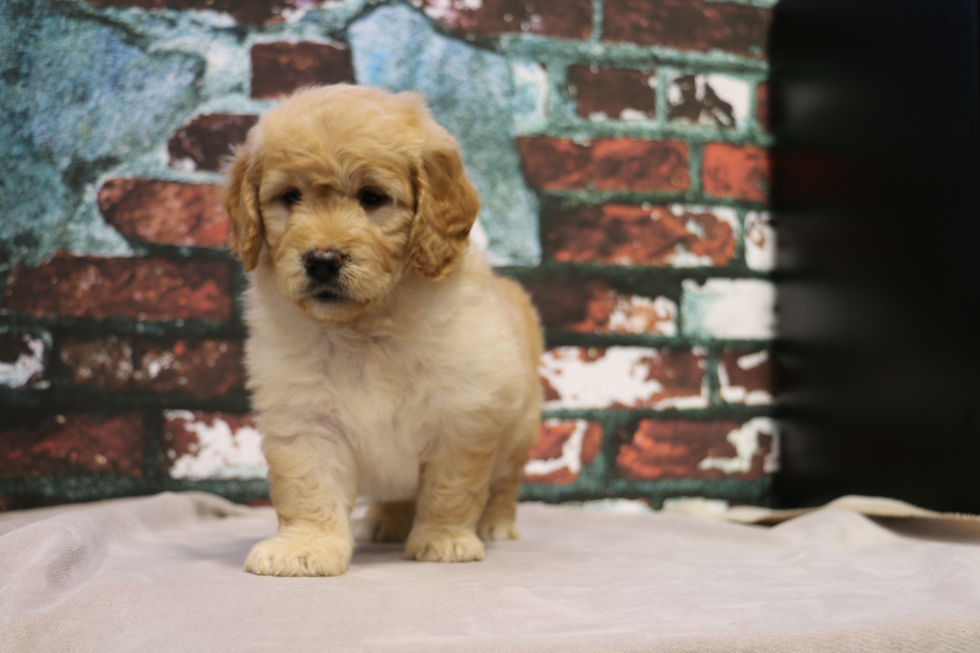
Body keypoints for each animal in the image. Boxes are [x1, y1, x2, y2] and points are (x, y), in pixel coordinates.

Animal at [222, 85, 544, 576]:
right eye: (290, 197)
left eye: (372, 197)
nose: (322, 260)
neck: (365, 328)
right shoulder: (304, 418)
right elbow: (307, 488)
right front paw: (305, 546)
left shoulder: (463, 417)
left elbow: (452, 489)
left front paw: (444, 540)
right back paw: (385, 521)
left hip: (520, 430)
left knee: (504, 484)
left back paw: (495, 524)